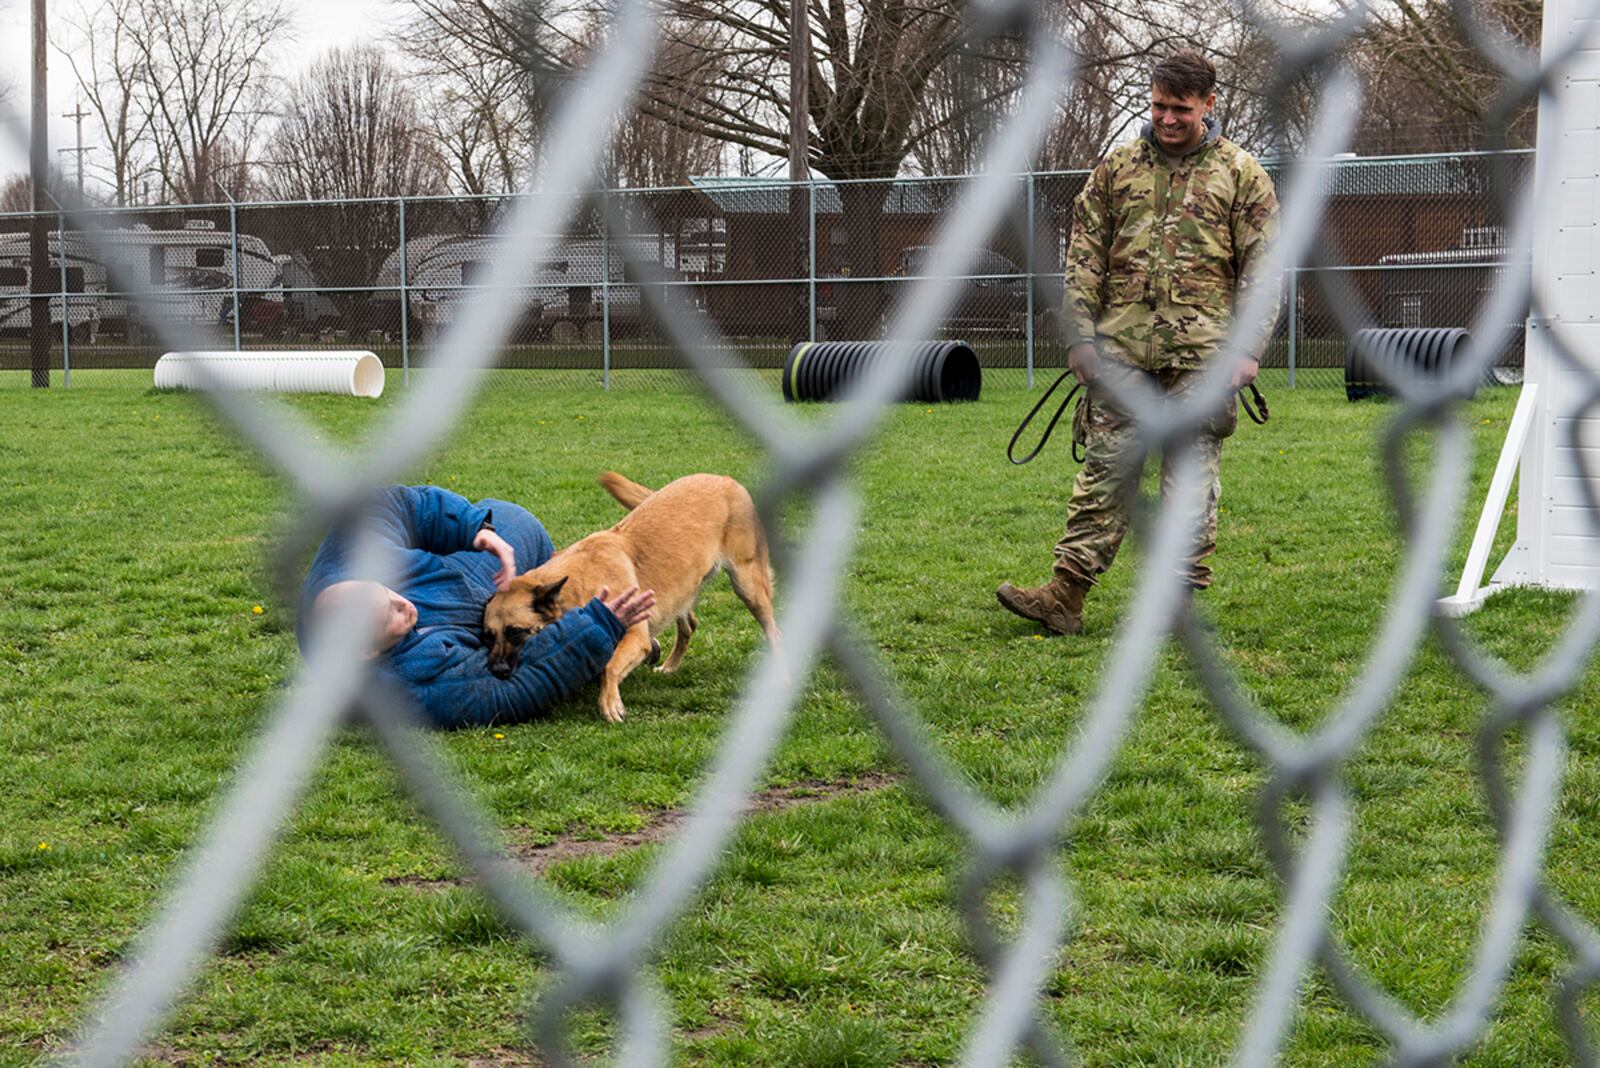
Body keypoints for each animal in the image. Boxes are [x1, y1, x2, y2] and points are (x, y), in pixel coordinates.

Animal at [483, 470, 784, 722]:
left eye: (516, 632)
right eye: (487, 635)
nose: (496, 671)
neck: (580, 583)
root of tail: (723, 479)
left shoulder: (636, 636)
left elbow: (610, 666)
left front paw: (610, 702)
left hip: (748, 585)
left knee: (774, 632)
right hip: (680, 589)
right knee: (688, 625)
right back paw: (670, 666)